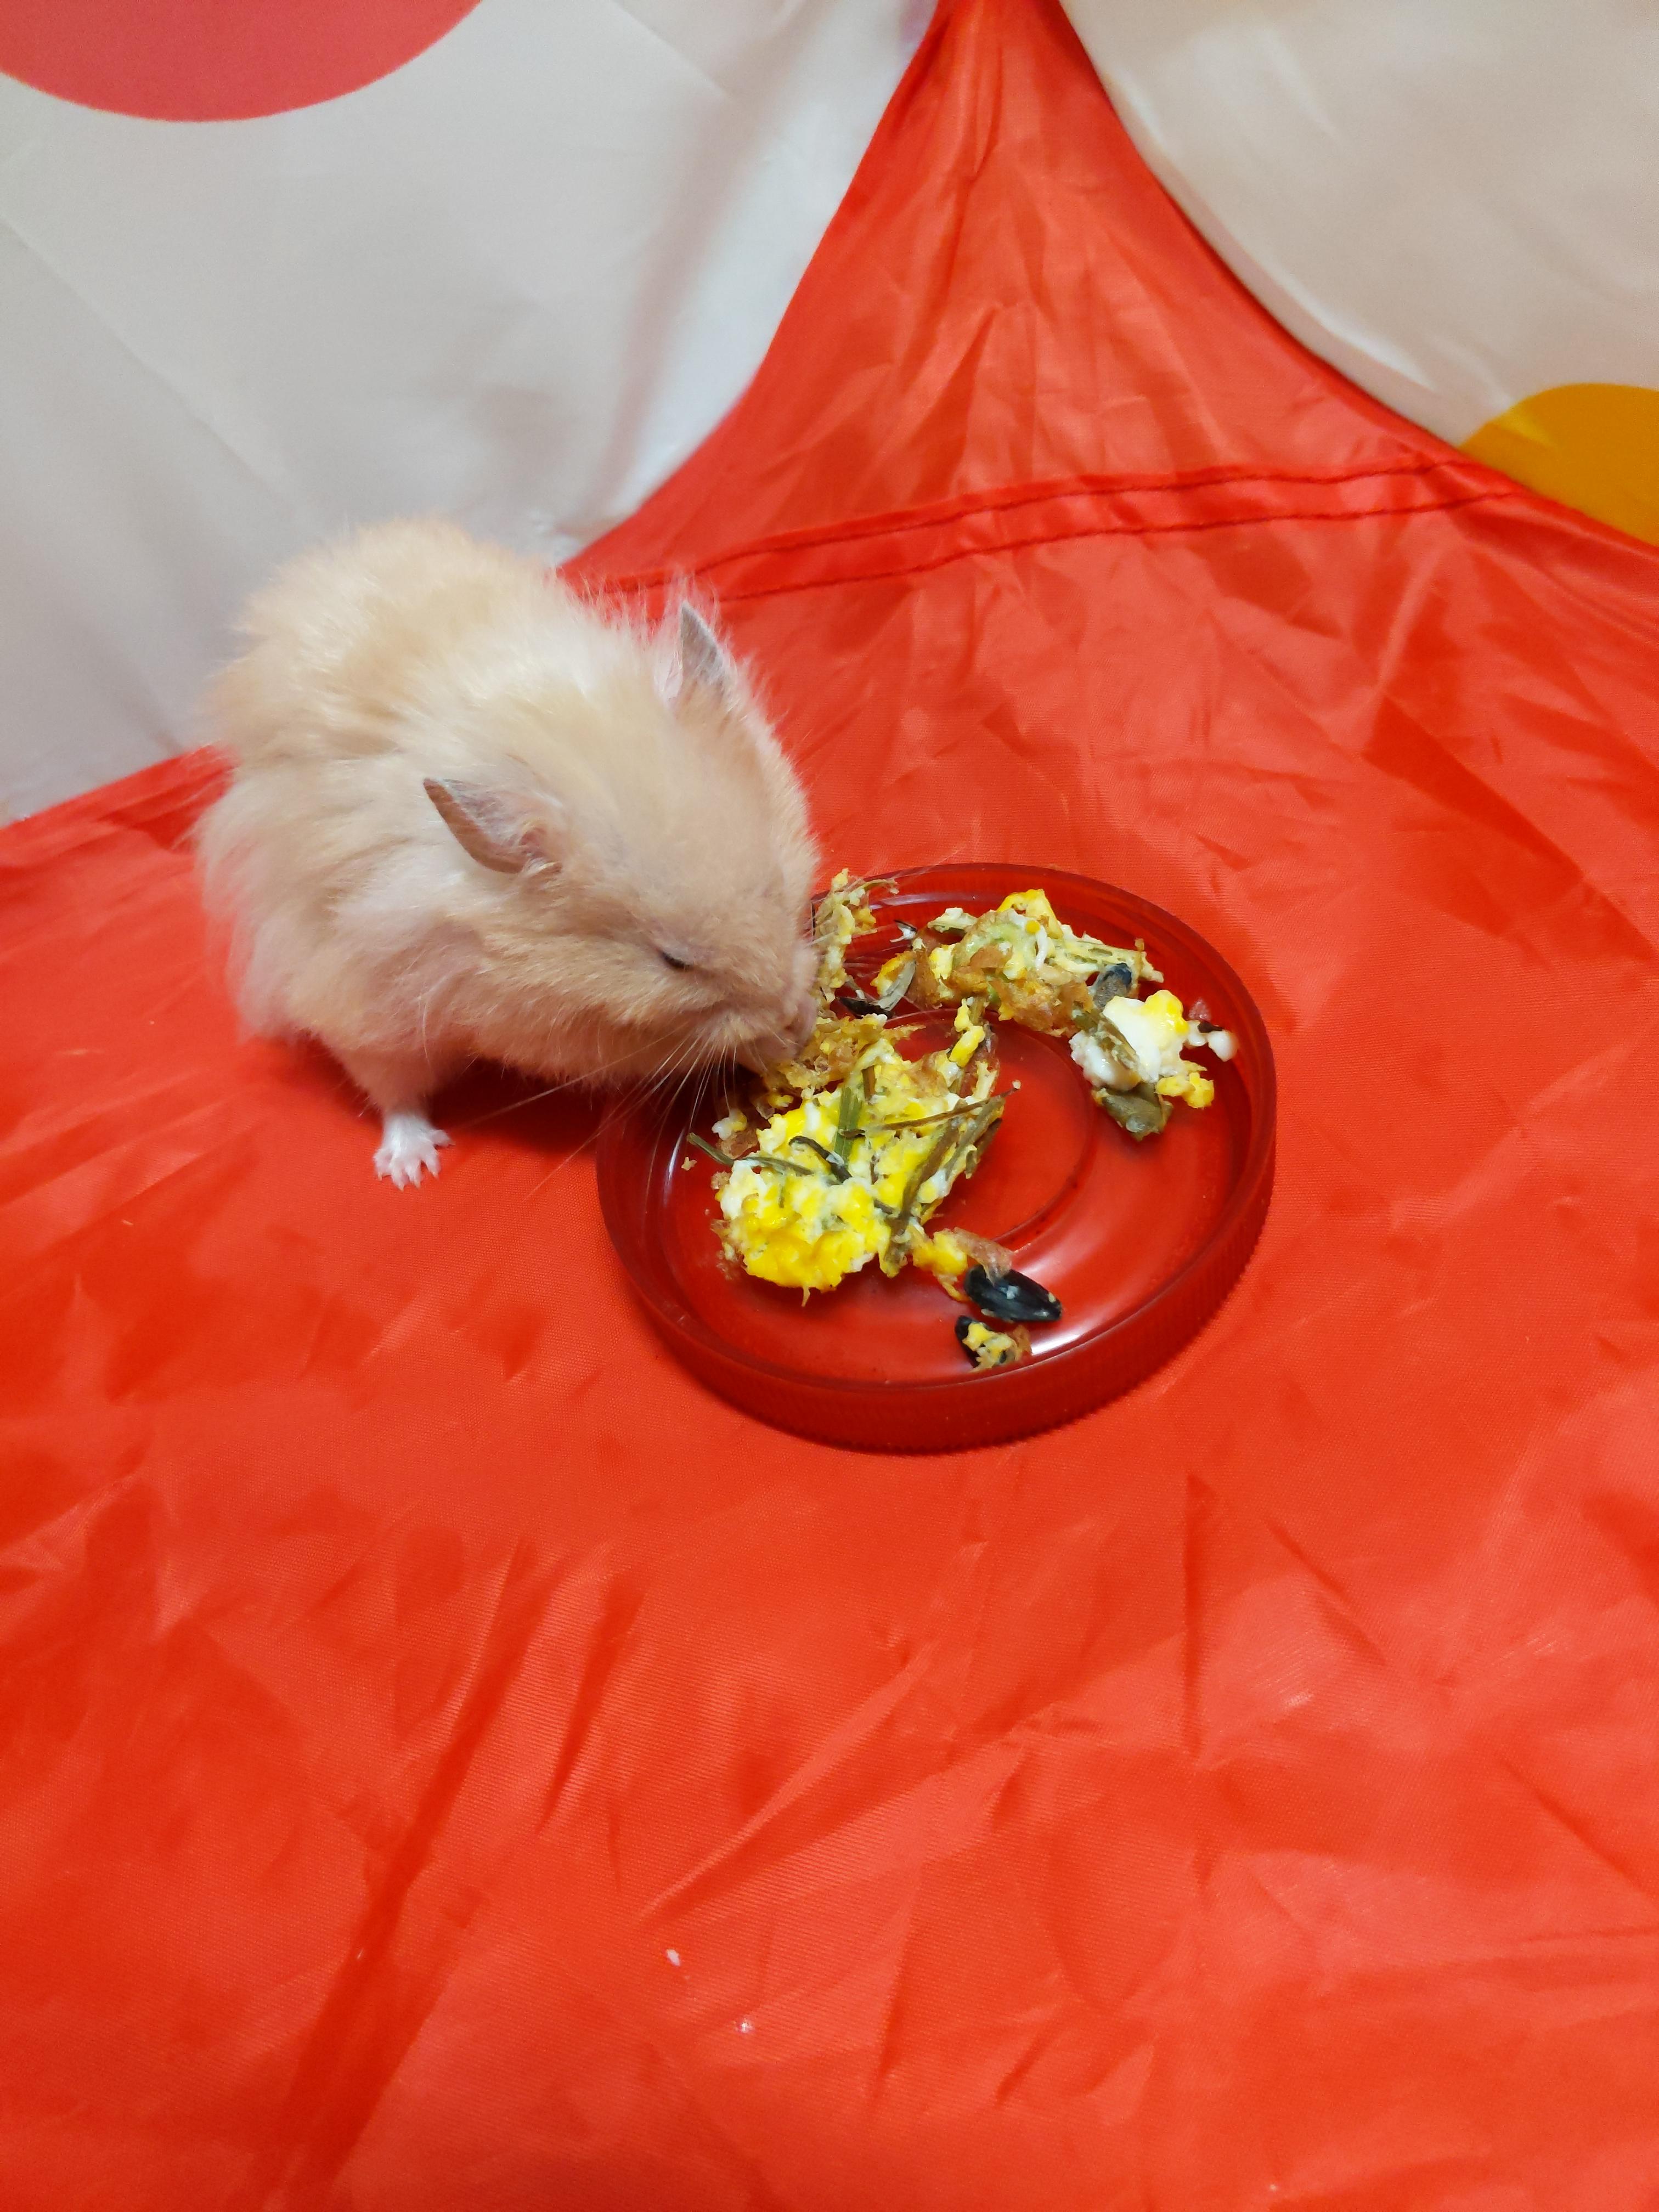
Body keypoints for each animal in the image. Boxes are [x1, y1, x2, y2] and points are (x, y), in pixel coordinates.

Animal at [197, 518, 819, 1185]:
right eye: (673, 962)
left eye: (776, 888)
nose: (790, 1015)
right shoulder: (542, 1025)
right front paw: (774, 1041)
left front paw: (806, 1015)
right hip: (358, 1008)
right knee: (390, 1087)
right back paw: (412, 1166)